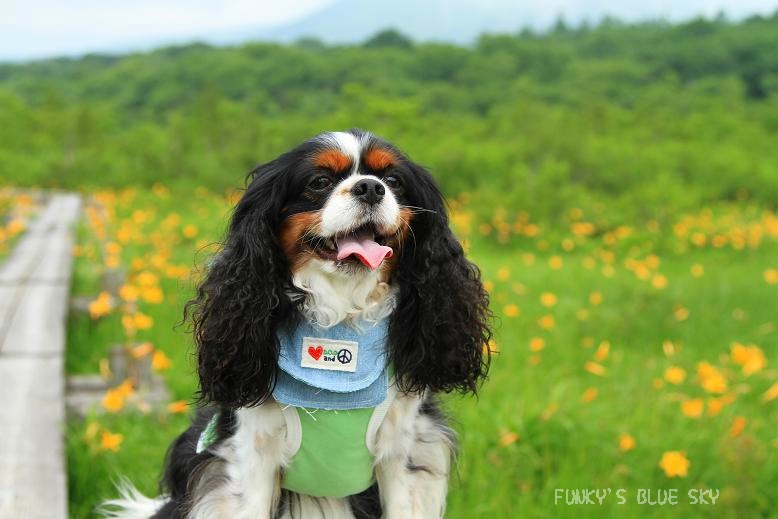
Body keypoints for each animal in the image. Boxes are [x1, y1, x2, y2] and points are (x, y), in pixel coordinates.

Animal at [103, 128, 492, 516]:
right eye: (319, 182)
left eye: (393, 181)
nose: (370, 187)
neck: (341, 316)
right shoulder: (250, 454)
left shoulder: (403, 450)